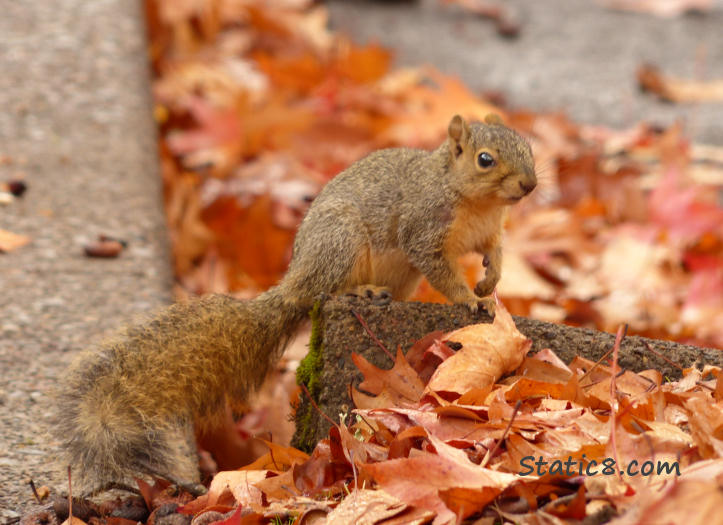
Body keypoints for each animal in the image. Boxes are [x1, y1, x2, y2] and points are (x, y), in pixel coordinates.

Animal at [53, 113, 536, 492]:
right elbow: (442, 270)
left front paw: (489, 280)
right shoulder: (425, 230)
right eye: (485, 159)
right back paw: (358, 292)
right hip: (340, 243)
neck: (477, 203)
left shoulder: (489, 233)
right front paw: (469, 298)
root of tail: (295, 280)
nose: (530, 184)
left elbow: (496, 253)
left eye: (529, 146)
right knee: (323, 292)